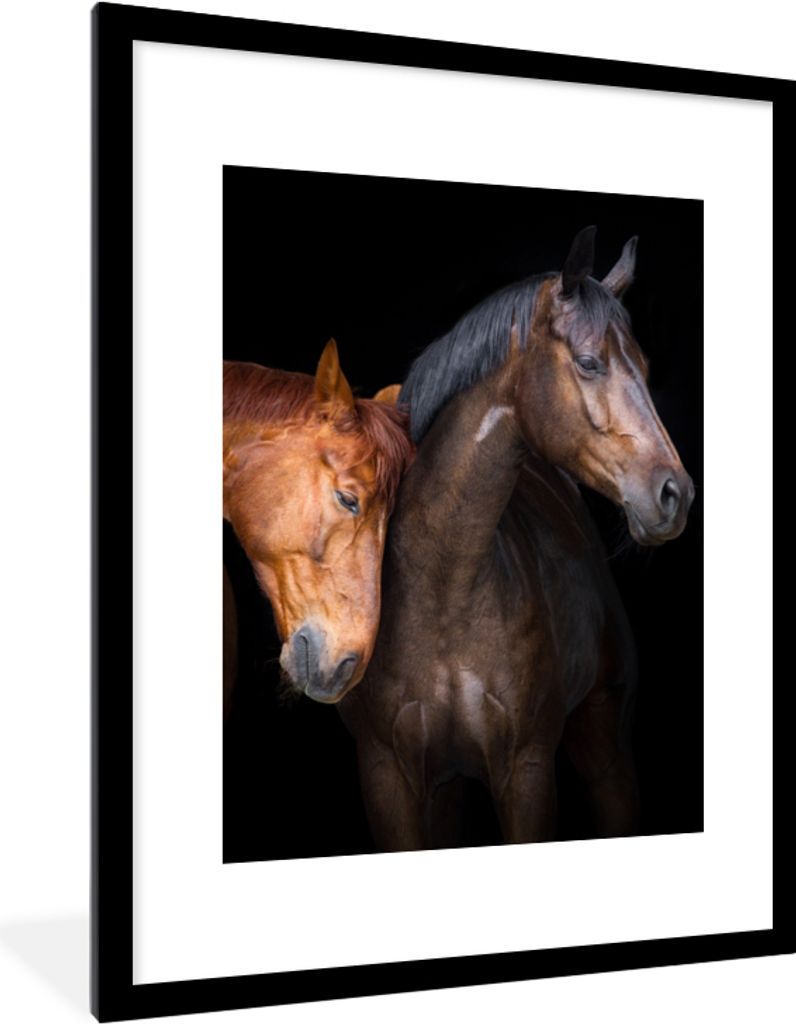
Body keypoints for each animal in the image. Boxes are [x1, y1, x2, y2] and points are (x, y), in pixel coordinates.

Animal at [339, 227, 695, 850]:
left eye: (646, 367)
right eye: (588, 363)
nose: (674, 493)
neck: (444, 589)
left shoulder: (526, 772)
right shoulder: (388, 776)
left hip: (606, 752)